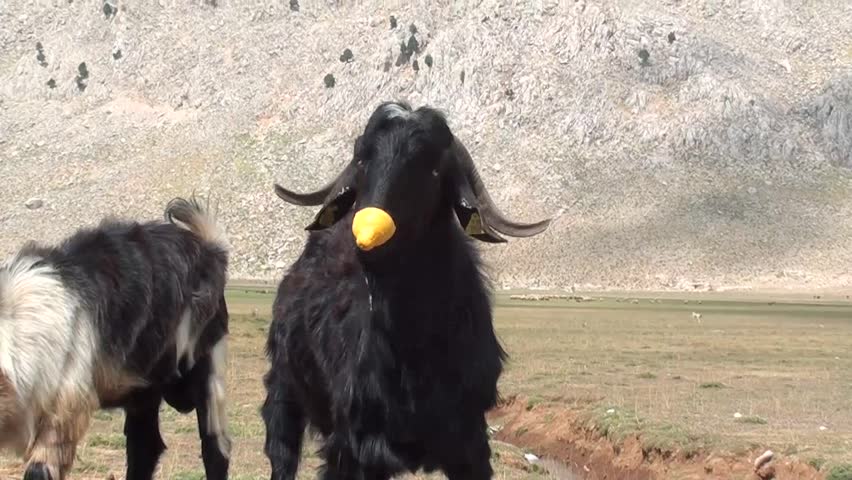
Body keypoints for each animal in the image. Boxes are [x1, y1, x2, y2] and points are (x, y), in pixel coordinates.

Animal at [0, 197, 231, 480]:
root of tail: (211, 248)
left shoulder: (65, 404)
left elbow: (40, 469)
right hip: (144, 389)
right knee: (146, 446)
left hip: (204, 369)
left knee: (215, 446)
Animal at [263, 101, 552, 479]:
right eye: (362, 160)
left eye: (432, 169)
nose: (368, 234)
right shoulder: (354, 446)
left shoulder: (468, 440)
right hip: (284, 393)